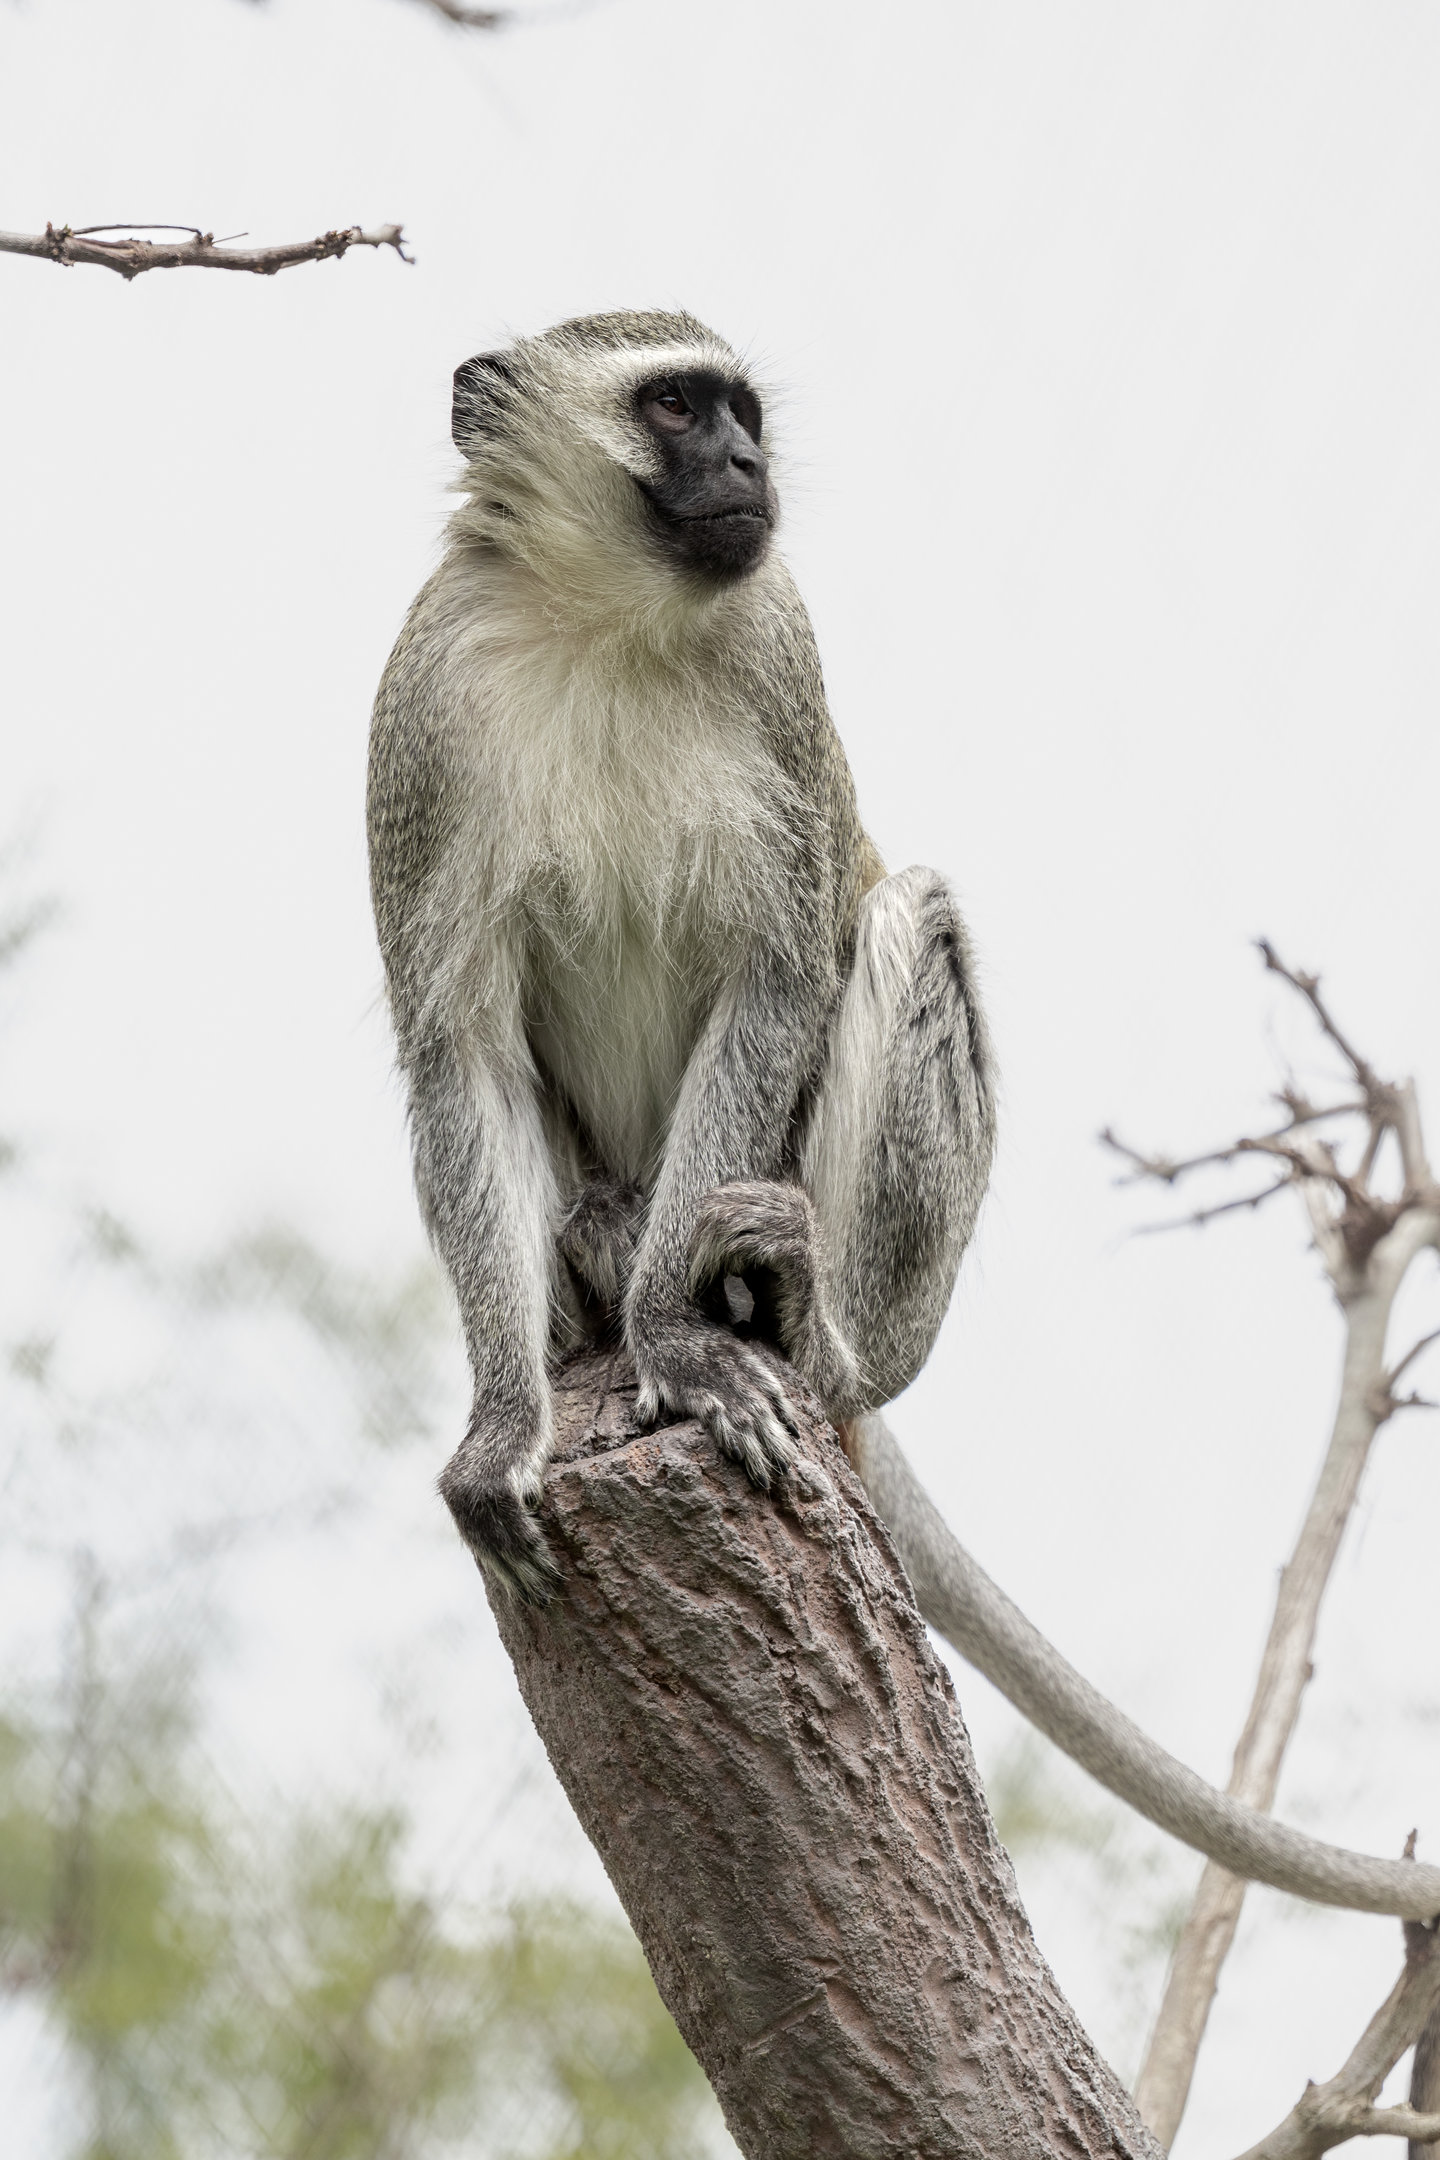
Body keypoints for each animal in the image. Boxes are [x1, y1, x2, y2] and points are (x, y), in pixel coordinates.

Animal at [367, 308, 996, 1605]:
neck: (609, 618)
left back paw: (813, 1323)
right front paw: (503, 1426)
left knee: (915, 917)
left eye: (741, 413)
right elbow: (461, 1055)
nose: (751, 463)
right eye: (672, 405)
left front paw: (674, 1337)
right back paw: (600, 1248)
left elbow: (776, 982)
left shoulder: (779, 644)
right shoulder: (426, 696)